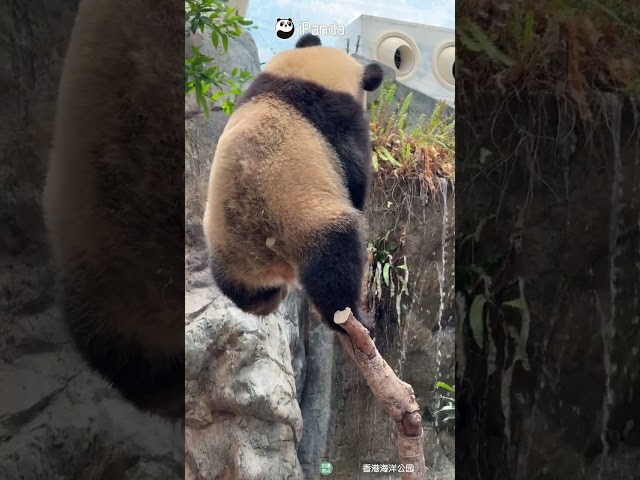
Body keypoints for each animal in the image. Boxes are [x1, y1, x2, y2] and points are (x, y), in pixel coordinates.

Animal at [203, 33, 384, 334]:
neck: (309, 76)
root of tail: (272, 260)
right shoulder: (340, 118)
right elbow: (355, 174)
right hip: (305, 222)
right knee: (335, 260)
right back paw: (355, 317)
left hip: (226, 249)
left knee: (238, 288)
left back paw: (267, 300)